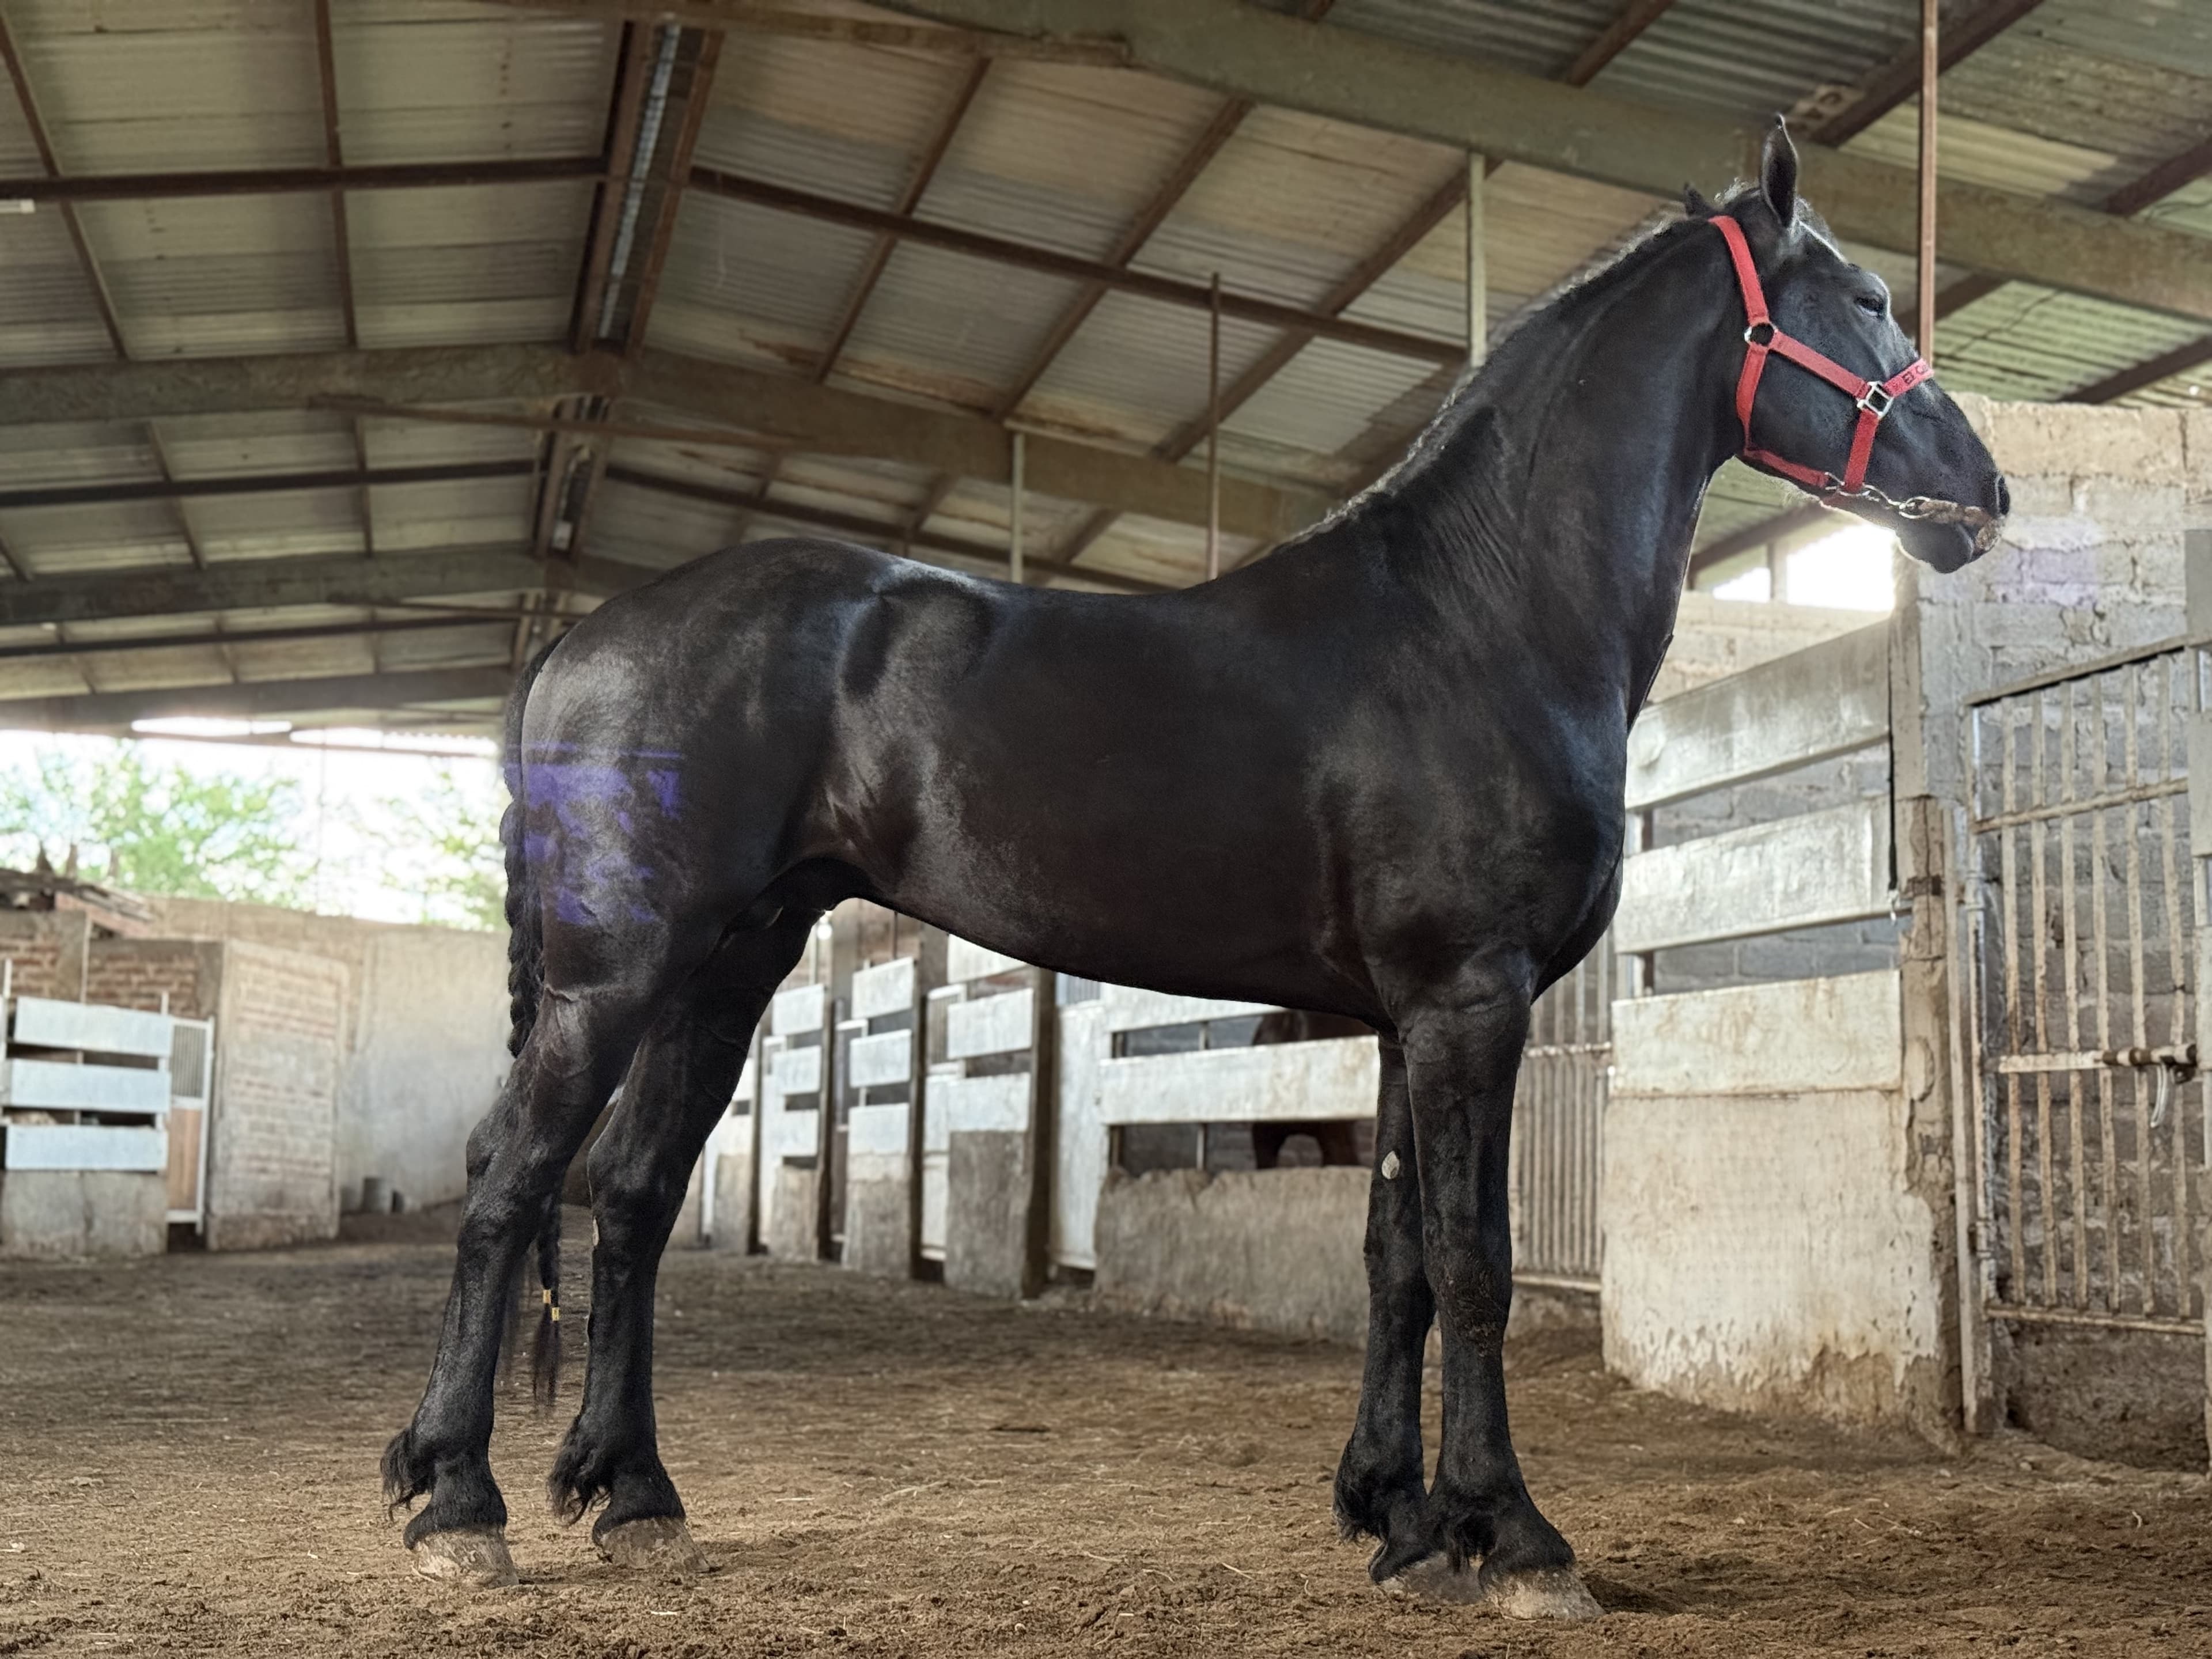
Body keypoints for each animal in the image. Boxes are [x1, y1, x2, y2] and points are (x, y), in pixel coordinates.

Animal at [383, 120, 2007, 1615]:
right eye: (1868, 297)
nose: (1983, 494)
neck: (1477, 616)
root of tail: (579, 641)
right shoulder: (1472, 999)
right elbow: (1473, 1259)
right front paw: (1515, 1536)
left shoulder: (1404, 1021)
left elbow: (1396, 1258)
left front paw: (1400, 1519)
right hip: (618, 976)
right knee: (511, 1182)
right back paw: (458, 1500)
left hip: (727, 966)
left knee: (634, 1199)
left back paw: (636, 1497)